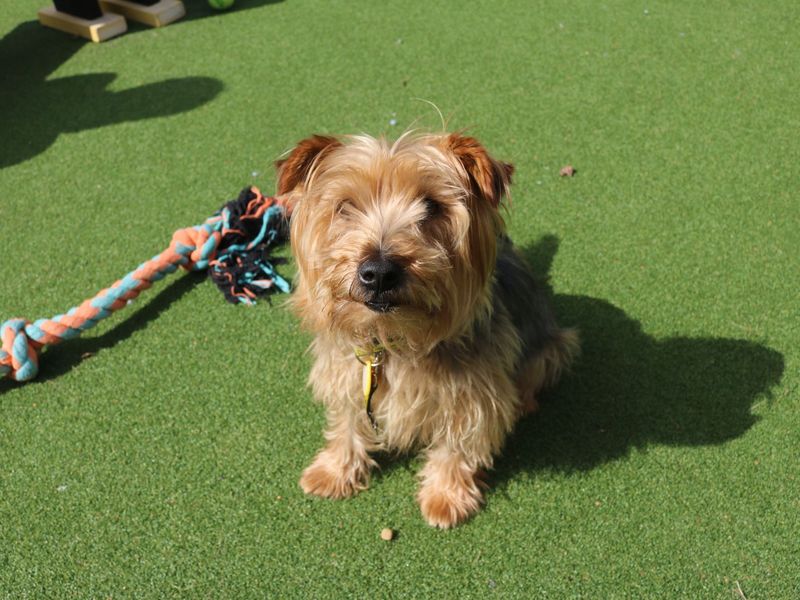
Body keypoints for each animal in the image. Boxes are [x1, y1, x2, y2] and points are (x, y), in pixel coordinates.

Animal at [278, 131, 580, 524]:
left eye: (432, 206)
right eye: (345, 206)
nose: (379, 271)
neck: (394, 340)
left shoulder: (471, 395)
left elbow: (456, 445)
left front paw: (445, 496)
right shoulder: (346, 374)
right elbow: (347, 423)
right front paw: (334, 470)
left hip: (554, 346)